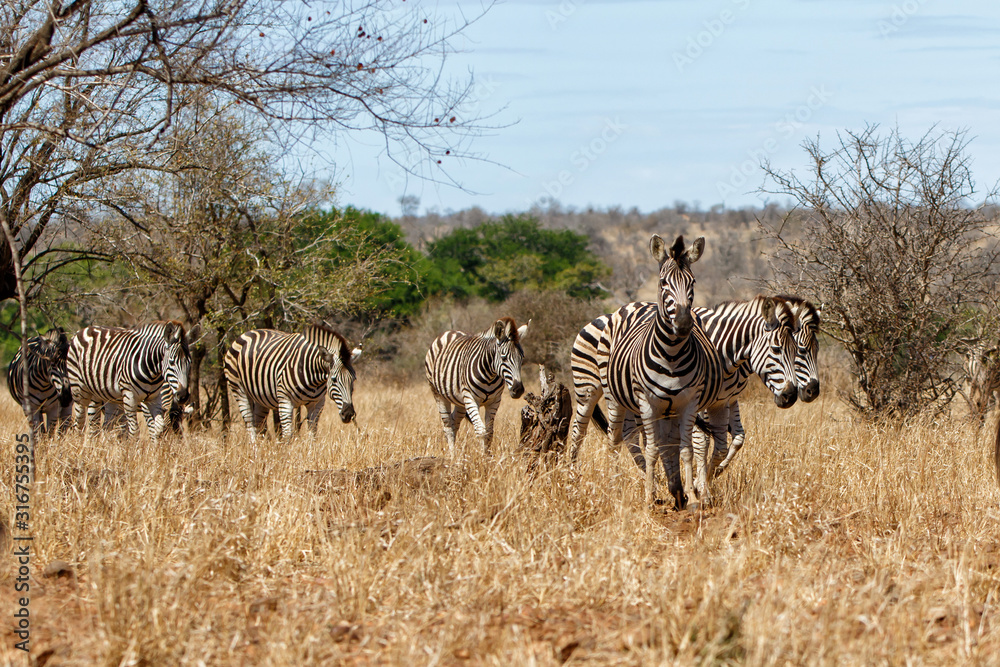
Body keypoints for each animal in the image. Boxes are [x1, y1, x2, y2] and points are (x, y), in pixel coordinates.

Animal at [67, 321, 197, 441]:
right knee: (82, 422)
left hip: (107, 396)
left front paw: (154, 450)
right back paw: (80, 445)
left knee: (103, 425)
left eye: (190, 362)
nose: (183, 396)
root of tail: (85, 329)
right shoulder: (132, 398)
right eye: (171, 362)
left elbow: (157, 429)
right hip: (80, 390)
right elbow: (136, 431)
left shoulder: (154, 399)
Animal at [224, 324, 360, 442]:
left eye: (353, 379)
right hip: (238, 389)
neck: (315, 379)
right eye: (334, 379)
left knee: (259, 426)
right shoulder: (285, 401)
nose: (348, 414)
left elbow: (312, 435)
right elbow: (287, 436)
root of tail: (248, 332)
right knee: (250, 426)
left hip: (260, 398)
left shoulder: (317, 403)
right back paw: (255, 452)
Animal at [425, 317, 530, 456]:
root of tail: (449, 332)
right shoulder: (471, 398)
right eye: (504, 357)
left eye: (522, 357)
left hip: (460, 401)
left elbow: (489, 432)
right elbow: (480, 431)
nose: (518, 390)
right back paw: (453, 456)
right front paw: (482, 458)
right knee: (447, 425)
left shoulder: (494, 401)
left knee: (454, 421)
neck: (490, 375)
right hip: (438, 394)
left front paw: (487, 456)